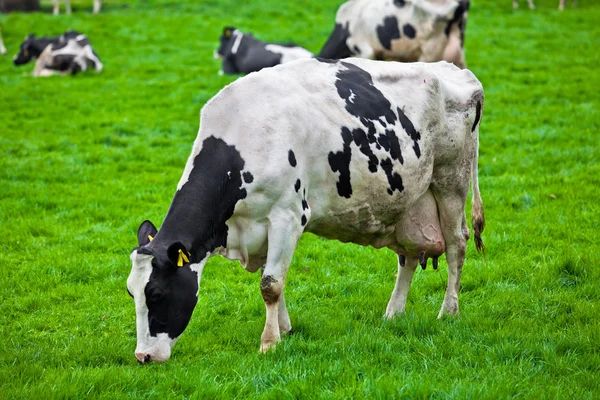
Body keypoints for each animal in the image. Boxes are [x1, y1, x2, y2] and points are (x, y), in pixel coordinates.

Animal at [126, 57, 482, 362]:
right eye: (131, 293)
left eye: (156, 293)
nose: (143, 356)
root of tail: (457, 70)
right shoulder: (260, 229)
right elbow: (275, 281)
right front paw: (285, 330)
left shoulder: (287, 216)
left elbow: (270, 284)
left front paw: (269, 343)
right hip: (407, 203)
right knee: (407, 257)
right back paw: (393, 313)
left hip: (451, 181)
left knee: (457, 245)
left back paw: (448, 311)